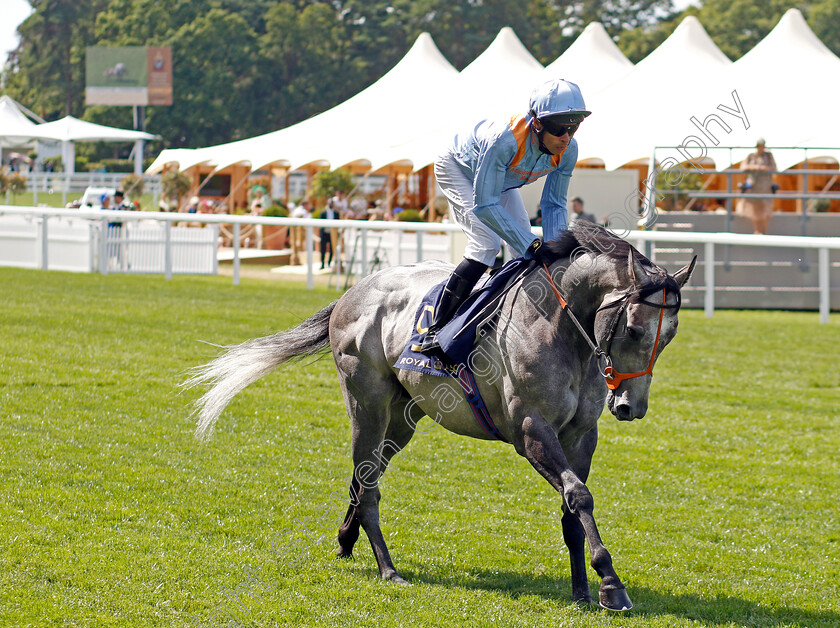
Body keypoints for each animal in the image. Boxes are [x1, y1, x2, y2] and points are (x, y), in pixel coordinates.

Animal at [189, 221, 696, 608]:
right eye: (634, 329)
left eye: (670, 335)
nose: (631, 407)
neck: (558, 328)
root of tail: (354, 292)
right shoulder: (531, 431)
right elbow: (579, 496)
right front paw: (610, 583)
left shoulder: (580, 436)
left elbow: (573, 509)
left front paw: (582, 590)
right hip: (366, 401)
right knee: (368, 482)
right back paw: (388, 568)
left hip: (402, 417)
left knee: (363, 472)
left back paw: (347, 538)